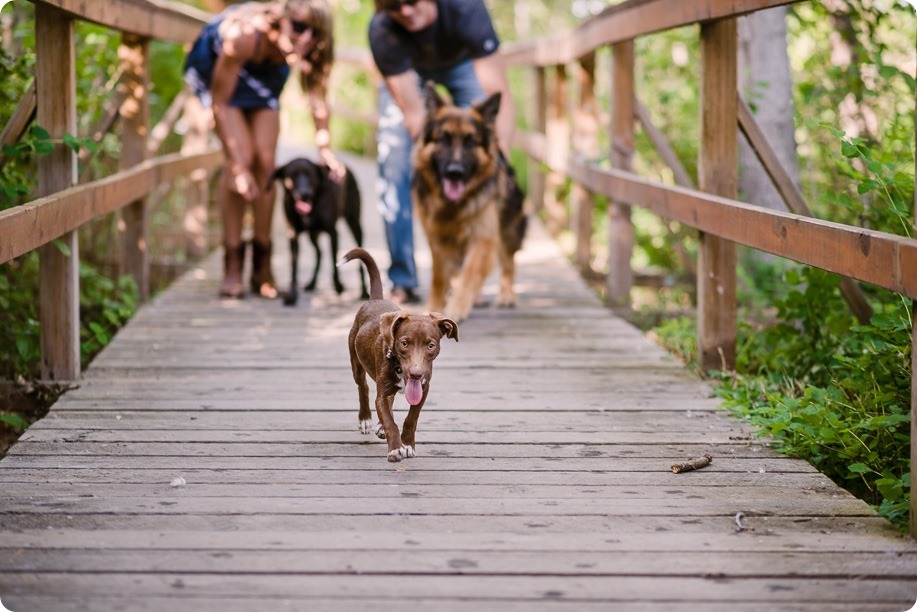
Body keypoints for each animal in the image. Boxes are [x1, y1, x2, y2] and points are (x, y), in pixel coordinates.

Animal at [272, 158, 368, 306]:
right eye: (292, 175)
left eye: (310, 174)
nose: (304, 194)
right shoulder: (293, 235)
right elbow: (294, 267)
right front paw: (292, 296)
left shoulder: (333, 233)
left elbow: (334, 262)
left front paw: (338, 286)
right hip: (313, 235)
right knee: (319, 253)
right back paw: (312, 283)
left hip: (354, 223)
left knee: (360, 257)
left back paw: (363, 291)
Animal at [340, 246, 458, 462]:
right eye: (404, 343)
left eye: (430, 345)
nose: (416, 374)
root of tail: (375, 299)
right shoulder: (382, 392)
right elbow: (389, 419)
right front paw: (396, 448)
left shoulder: (423, 389)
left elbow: (411, 418)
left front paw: (408, 444)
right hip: (356, 361)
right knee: (363, 388)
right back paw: (366, 419)